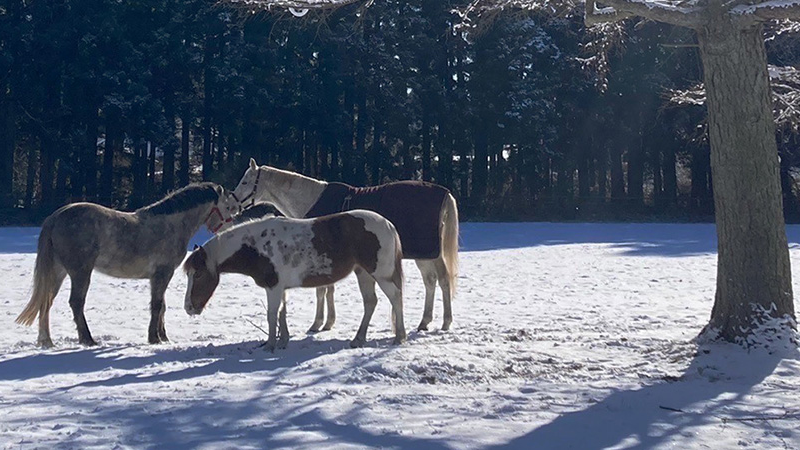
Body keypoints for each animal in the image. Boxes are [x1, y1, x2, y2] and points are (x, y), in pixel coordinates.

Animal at [183, 209, 406, 350]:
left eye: (198, 274)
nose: (188, 308)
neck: (255, 247)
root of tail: (388, 224)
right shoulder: (280, 288)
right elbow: (282, 313)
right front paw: (283, 341)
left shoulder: (273, 287)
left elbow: (272, 315)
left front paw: (270, 345)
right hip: (363, 274)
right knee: (370, 302)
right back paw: (358, 339)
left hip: (380, 275)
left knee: (395, 298)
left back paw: (399, 337)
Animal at [228, 157, 460, 330]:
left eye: (246, 181)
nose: (231, 205)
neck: (311, 199)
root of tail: (445, 193)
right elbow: (328, 289)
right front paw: (328, 322)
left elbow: (322, 290)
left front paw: (318, 323)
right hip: (424, 255)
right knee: (430, 281)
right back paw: (424, 322)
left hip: (430, 253)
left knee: (442, 280)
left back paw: (446, 322)